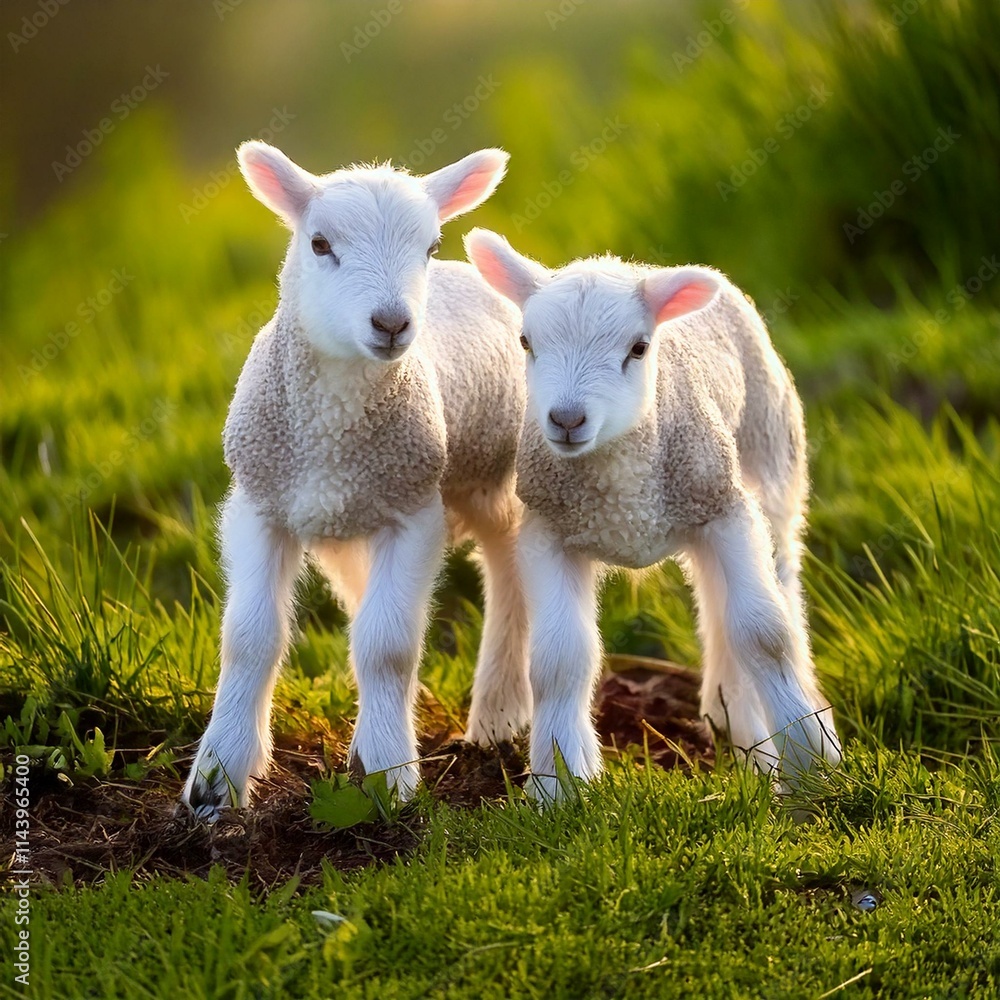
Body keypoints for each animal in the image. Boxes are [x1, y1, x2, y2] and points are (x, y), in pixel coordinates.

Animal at [182, 143, 531, 819]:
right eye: (320, 244)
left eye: (429, 246)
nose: (393, 323)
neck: (331, 431)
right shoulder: (259, 504)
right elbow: (249, 637)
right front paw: (218, 778)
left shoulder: (414, 510)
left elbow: (387, 644)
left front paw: (387, 775)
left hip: (489, 474)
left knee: (508, 572)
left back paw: (499, 714)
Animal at [464, 228, 842, 800]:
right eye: (526, 342)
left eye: (638, 348)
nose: (566, 420)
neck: (626, 503)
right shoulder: (548, 530)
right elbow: (559, 659)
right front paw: (556, 786)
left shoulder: (725, 510)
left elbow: (764, 633)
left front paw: (811, 768)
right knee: (716, 602)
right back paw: (738, 725)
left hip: (767, 469)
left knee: (780, 597)